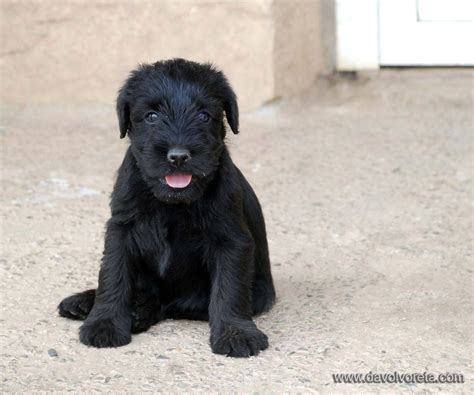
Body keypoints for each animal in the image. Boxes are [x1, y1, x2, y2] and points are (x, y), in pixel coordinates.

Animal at [57, 58, 276, 358]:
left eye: (204, 115)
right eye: (151, 116)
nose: (179, 156)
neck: (172, 203)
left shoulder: (230, 239)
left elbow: (229, 289)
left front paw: (236, 333)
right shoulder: (121, 229)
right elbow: (113, 275)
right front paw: (105, 322)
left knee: (163, 302)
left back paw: (138, 312)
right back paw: (84, 302)